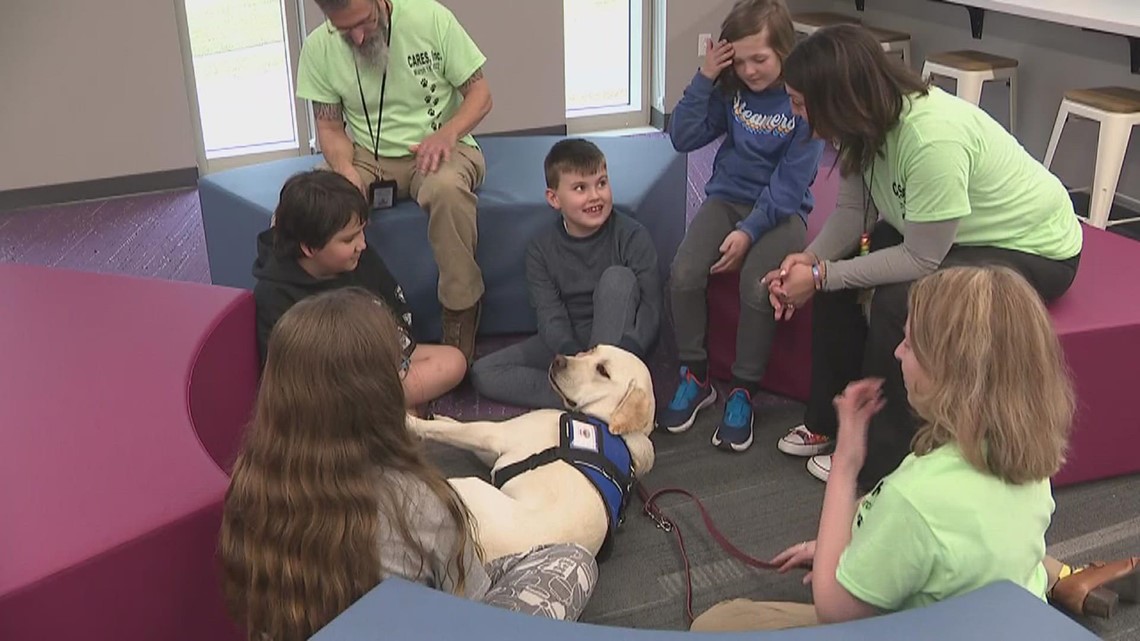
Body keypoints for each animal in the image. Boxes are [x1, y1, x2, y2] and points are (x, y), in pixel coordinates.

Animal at [410, 344, 661, 558]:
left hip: (463, 485)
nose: (558, 359)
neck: (603, 421)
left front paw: (412, 422)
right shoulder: (495, 451)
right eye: (592, 350)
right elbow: (455, 427)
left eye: (603, 371)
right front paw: (441, 416)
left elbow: (447, 430)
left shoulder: (495, 435)